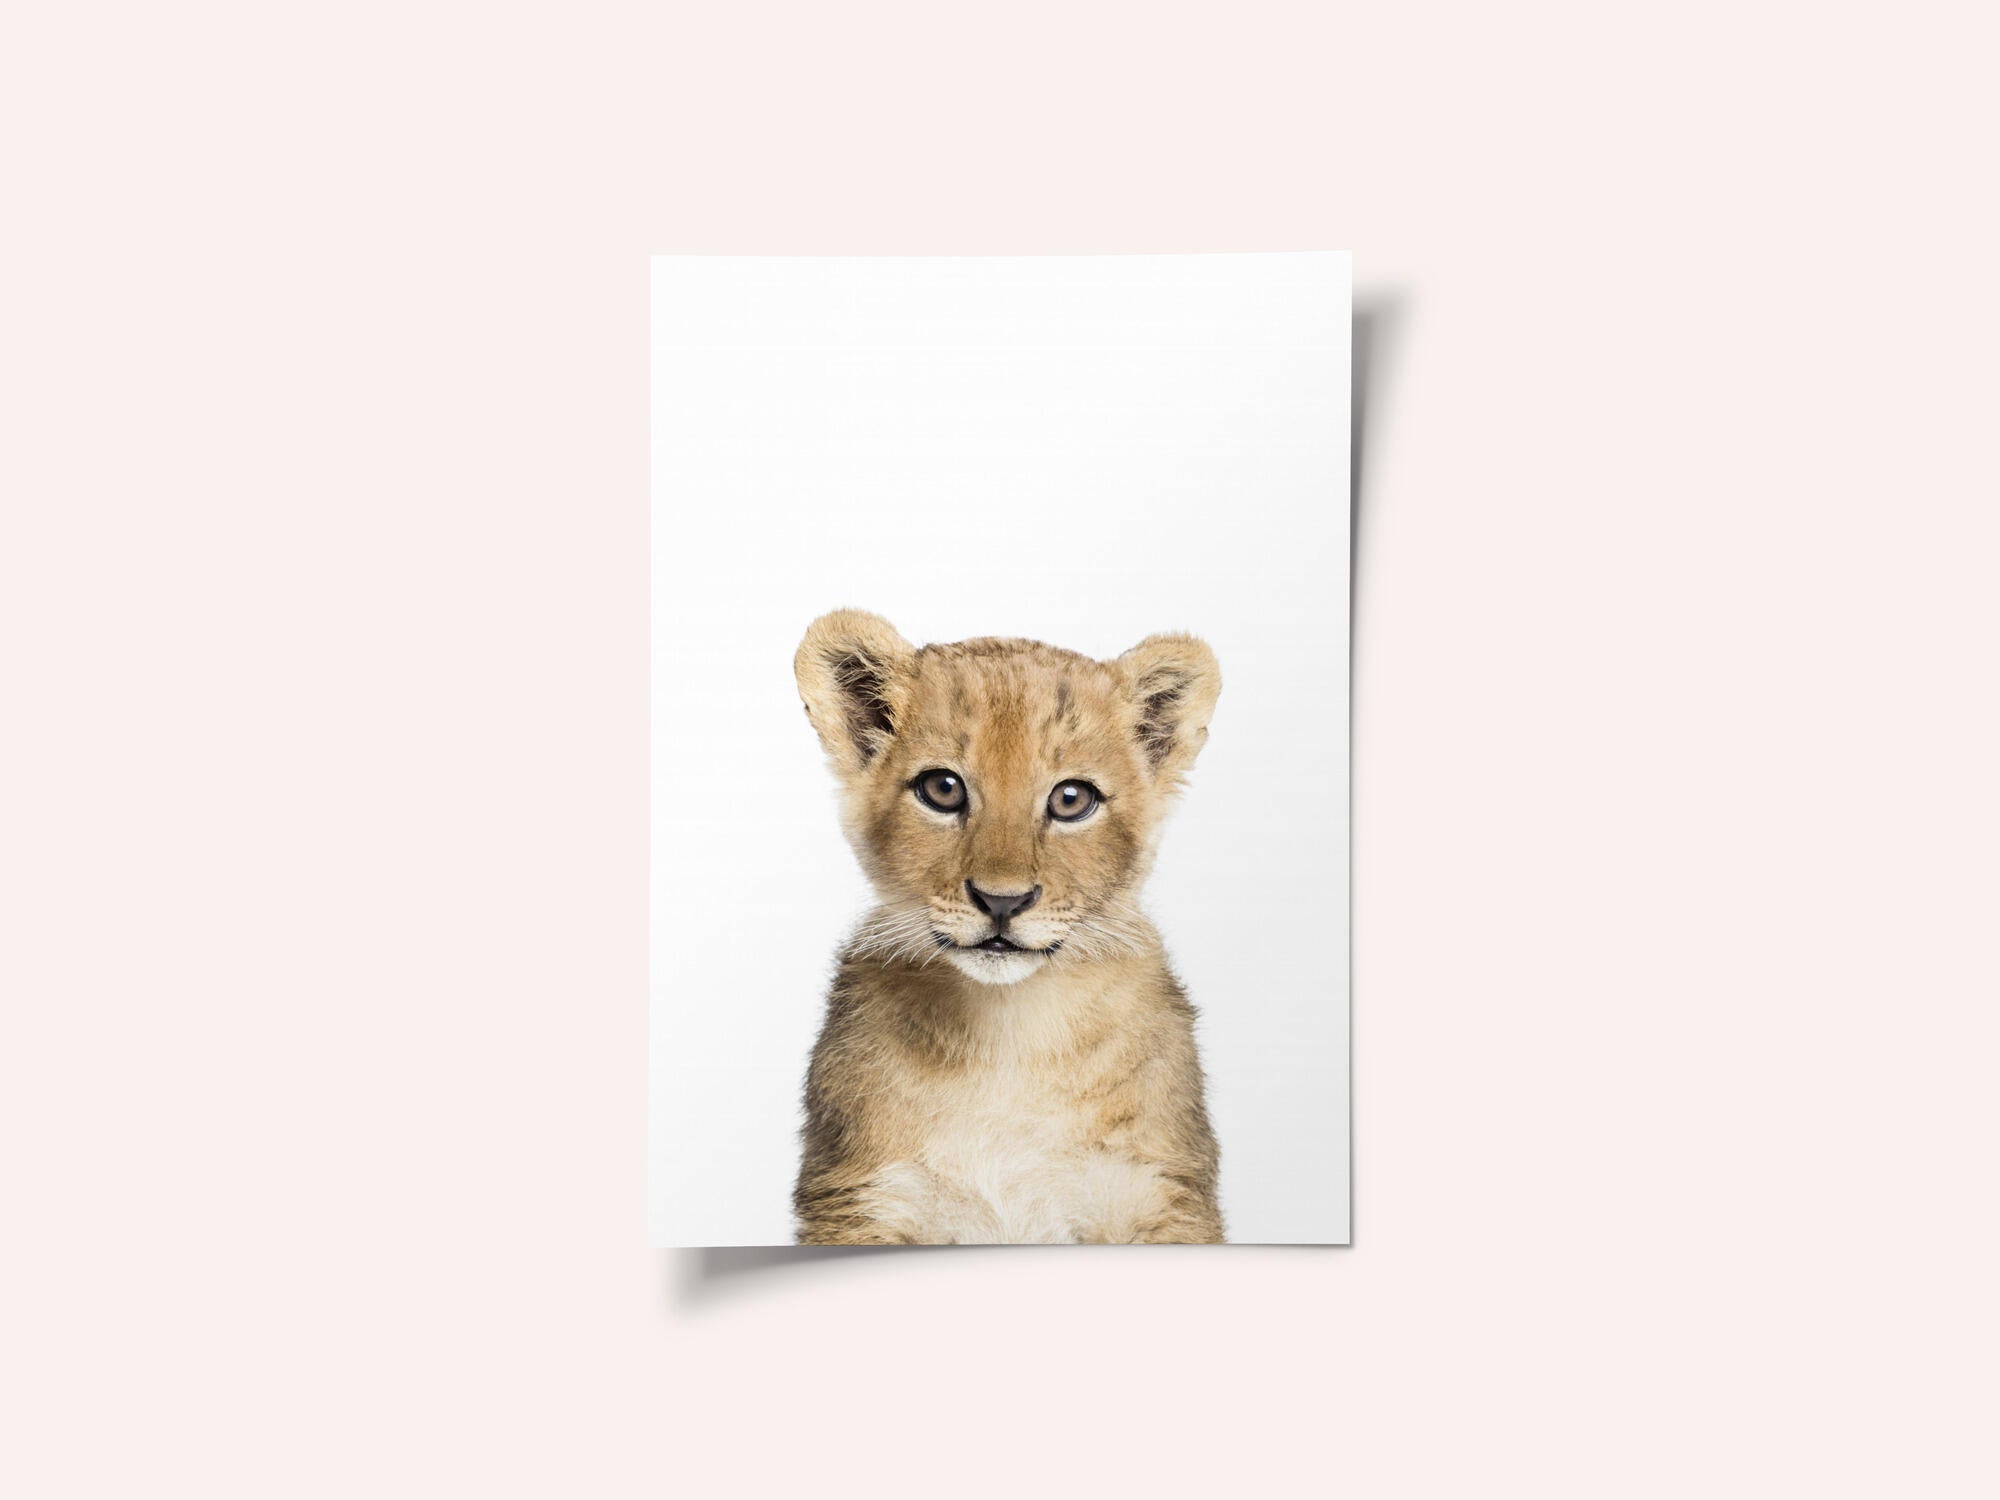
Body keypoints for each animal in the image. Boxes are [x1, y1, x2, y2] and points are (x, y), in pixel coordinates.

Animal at [790, 610, 1225, 1245]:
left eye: (1072, 799)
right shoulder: (860, 1198)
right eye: (942, 789)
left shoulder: (1161, 1193)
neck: (1009, 1034)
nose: (1002, 901)